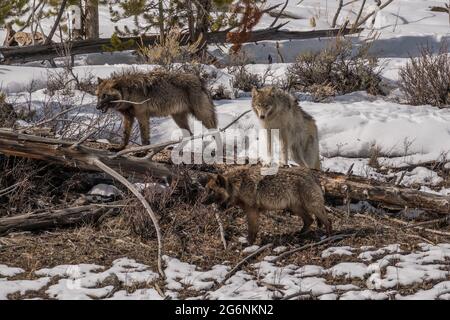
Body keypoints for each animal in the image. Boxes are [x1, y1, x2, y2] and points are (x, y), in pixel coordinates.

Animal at [202, 166, 332, 244]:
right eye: (206, 189)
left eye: (211, 191)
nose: (202, 201)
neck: (237, 185)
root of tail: (312, 175)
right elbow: (254, 229)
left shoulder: (252, 211)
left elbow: (252, 229)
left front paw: (249, 243)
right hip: (295, 208)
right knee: (309, 220)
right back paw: (299, 235)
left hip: (311, 206)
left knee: (327, 221)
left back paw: (328, 237)